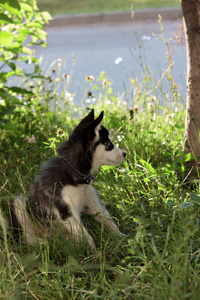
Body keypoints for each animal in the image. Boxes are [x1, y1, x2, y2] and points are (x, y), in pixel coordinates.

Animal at [9, 109, 126, 250]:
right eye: (109, 144)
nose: (125, 154)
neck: (74, 173)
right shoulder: (66, 213)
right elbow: (88, 237)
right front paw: (95, 253)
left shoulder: (92, 200)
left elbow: (108, 220)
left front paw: (122, 238)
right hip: (18, 202)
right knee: (29, 238)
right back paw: (45, 244)